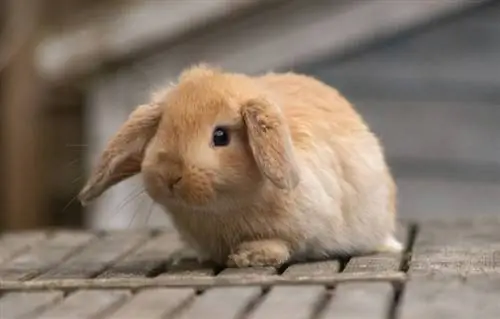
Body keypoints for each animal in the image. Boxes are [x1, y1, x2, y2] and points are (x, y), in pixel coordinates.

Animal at [78, 63, 402, 268]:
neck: (220, 211)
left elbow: (284, 243)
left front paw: (249, 257)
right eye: (161, 129)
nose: (170, 176)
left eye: (221, 136)